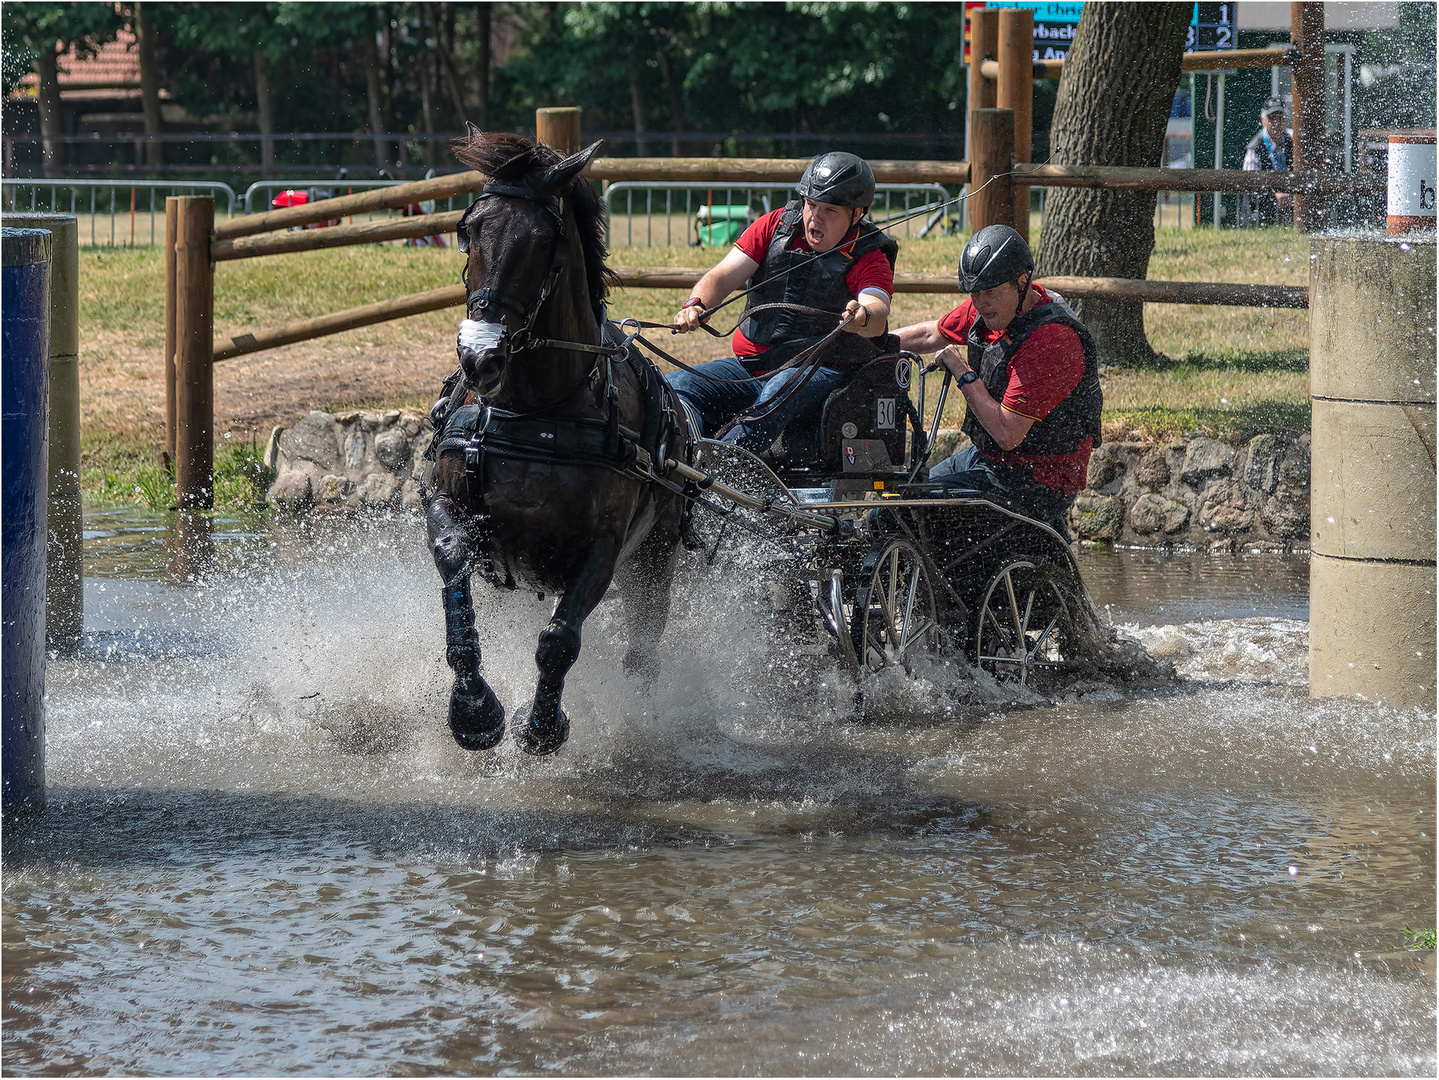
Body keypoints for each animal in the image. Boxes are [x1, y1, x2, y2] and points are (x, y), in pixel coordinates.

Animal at [423, 128, 693, 753]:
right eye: (469, 231)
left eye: (543, 240)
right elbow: (454, 570)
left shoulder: (605, 547)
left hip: (655, 560)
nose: (478, 356)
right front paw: (473, 708)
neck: (536, 412)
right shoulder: (450, 506)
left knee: (643, 647)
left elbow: (559, 640)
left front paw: (542, 726)